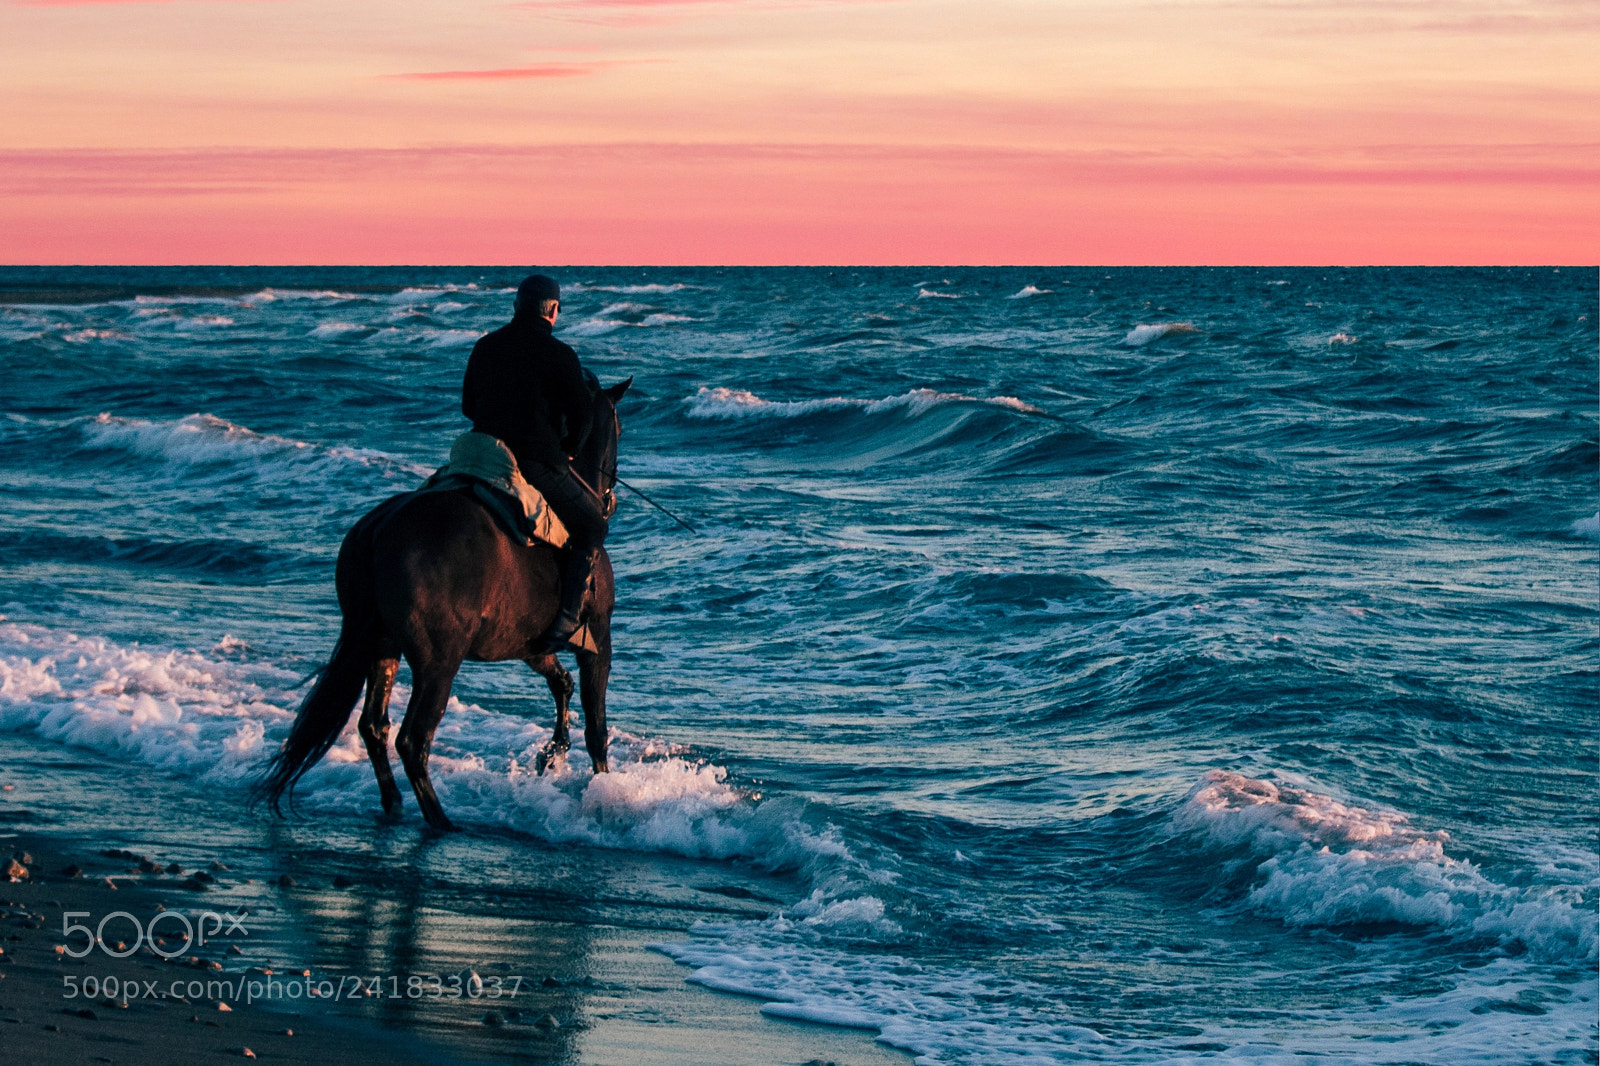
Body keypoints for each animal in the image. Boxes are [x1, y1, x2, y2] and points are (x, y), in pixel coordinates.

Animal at [253, 377, 631, 831]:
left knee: (374, 726)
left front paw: (551, 754)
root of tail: (378, 528)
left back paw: (395, 803)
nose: (609, 500)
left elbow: (562, 684)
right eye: (619, 428)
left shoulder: (528, 646)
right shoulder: (598, 641)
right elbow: (597, 727)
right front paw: (600, 786)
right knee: (413, 738)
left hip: (382, 645)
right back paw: (440, 820)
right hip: (438, 662)